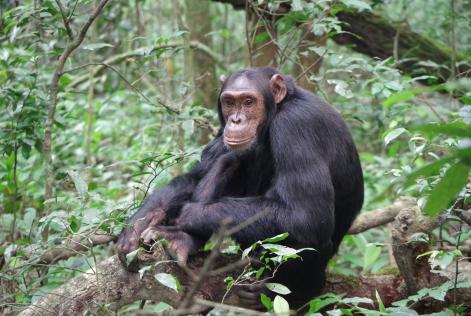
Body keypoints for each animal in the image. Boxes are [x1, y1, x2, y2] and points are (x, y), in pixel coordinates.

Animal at [117, 67, 366, 308]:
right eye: (229, 102)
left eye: (248, 101)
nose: (236, 120)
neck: (278, 110)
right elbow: (195, 176)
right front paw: (138, 225)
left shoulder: (296, 126)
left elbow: (306, 215)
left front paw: (189, 215)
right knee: (229, 159)